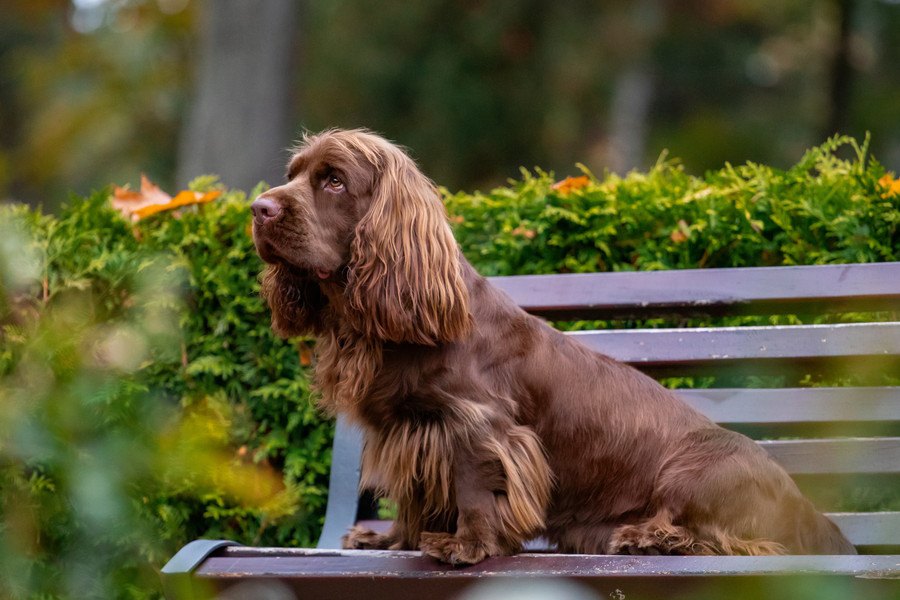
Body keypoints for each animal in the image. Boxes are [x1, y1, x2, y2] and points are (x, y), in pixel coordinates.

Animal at [250, 129, 856, 564]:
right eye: (291, 176)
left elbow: (472, 485)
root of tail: (807, 507)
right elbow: (417, 494)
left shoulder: (478, 423)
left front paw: (467, 546)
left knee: (738, 542)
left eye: (333, 181)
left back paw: (651, 538)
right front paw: (393, 539)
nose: (258, 208)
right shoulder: (409, 430)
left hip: (694, 471)